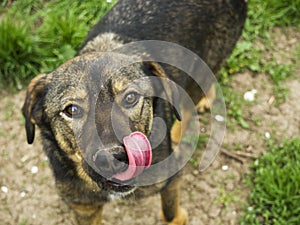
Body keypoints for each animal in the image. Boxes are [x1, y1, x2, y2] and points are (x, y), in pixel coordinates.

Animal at [21, 0, 246, 224]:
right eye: (72, 110)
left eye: (130, 98)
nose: (111, 159)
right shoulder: (84, 207)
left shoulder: (170, 181)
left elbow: (171, 213)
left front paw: (177, 217)